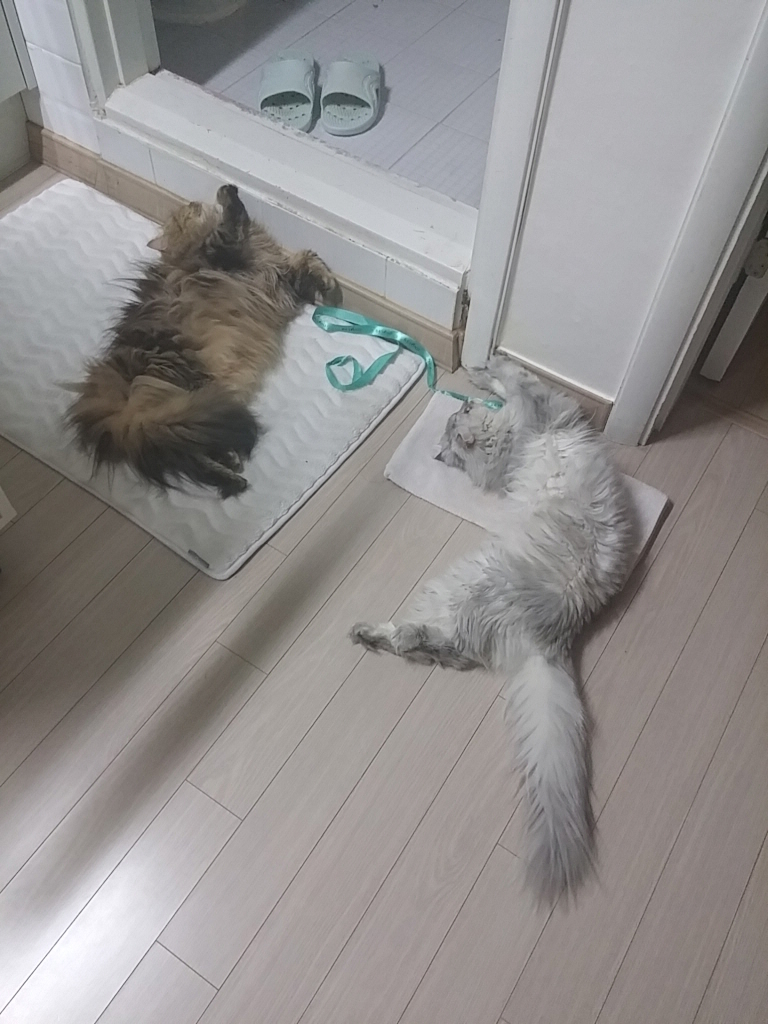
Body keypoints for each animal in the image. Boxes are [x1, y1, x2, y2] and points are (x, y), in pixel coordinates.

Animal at [68, 184, 339, 498]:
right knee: (185, 449)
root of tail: (119, 401)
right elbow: (234, 218)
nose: (192, 203)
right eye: (181, 216)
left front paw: (329, 292)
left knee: (189, 444)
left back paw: (230, 466)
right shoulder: (223, 249)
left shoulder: (284, 280)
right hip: (186, 390)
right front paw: (226, 192)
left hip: (204, 401)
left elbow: (310, 261)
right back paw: (231, 473)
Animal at [351, 356, 634, 904]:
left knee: (432, 643)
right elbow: (519, 391)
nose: (451, 430)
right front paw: (487, 379)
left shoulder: (543, 416)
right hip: (466, 589)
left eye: (449, 424)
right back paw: (374, 634)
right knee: (439, 647)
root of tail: (553, 638)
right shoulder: (534, 426)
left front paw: (485, 374)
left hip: (464, 584)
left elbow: (519, 386)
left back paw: (374, 632)